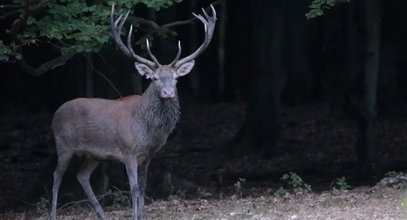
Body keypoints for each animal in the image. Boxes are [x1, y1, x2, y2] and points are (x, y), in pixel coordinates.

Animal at [47, 3, 217, 220]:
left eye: (176, 78)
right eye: (154, 78)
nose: (168, 93)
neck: (147, 130)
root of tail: (55, 114)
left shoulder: (148, 155)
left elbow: (144, 187)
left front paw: (142, 215)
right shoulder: (128, 152)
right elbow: (134, 188)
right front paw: (135, 215)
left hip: (92, 154)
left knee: (82, 176)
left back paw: (101, 214)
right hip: (64, 145)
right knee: (57, 175)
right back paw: (53, 214)